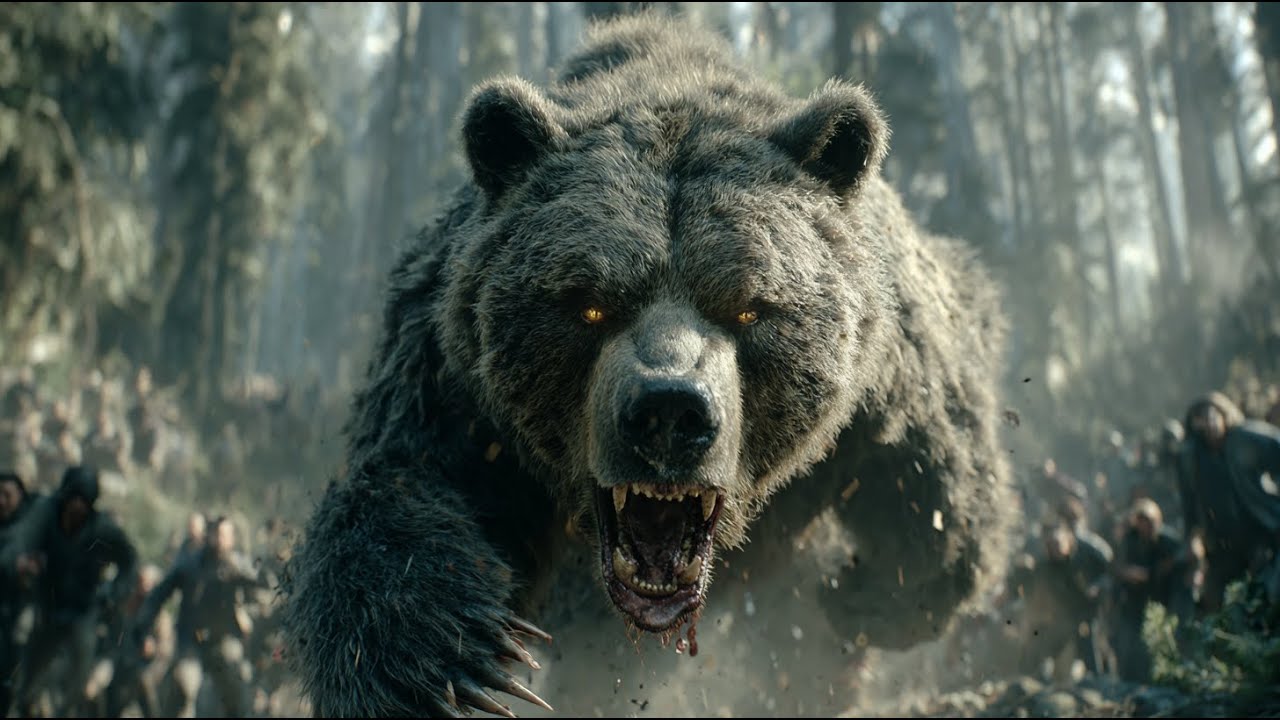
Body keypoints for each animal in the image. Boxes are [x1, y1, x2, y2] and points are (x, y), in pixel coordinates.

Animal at [282, 12, 1014, 718]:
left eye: (749, 307)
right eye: (588, 303)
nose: (669, 412)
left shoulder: (887, 387)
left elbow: (944, 505)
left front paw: (856, 591)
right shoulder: (455, 386)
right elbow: (400, 491)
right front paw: (455, 661)